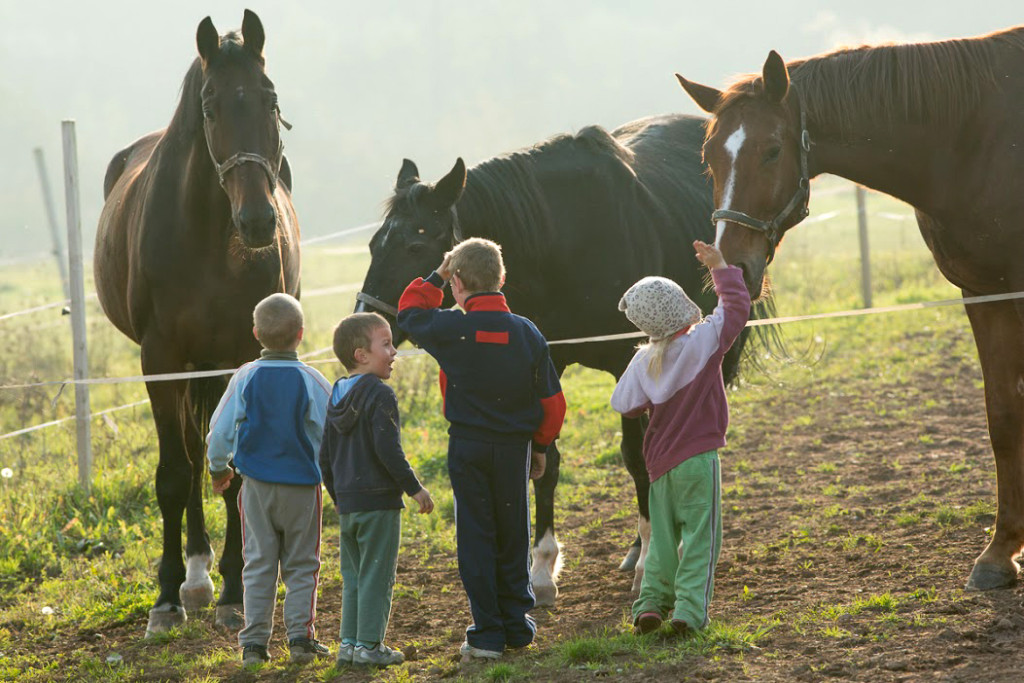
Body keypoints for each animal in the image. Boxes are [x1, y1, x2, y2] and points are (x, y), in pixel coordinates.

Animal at [93, 10, 299, 638]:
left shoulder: (242, 356)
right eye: (209, 108)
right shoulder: (159, 360)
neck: (209, 235)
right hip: (185, 368)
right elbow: (173, 474)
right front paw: (166, 599)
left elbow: (234, 473)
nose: (258, 221)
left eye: (270, 99)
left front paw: (237, 593)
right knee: (187, 451)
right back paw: (194, 575)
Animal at [356, 113, 765, 602]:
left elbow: (637, 457)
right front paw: (542, 568)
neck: (563, 240)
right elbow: (544, 464)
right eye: (373, 245)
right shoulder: (544, 362)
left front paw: (648, 562)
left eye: (415, 247)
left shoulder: (629, 362)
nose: (365, 318)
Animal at [679, 26, 1024, 589]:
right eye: (710, 157)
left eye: (772, 151)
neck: (974, 140)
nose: (729, 266)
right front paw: (1000, 552)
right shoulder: (983, 295)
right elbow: (1003, 415)